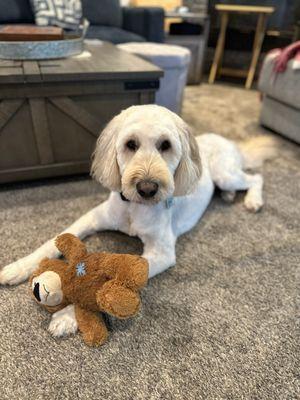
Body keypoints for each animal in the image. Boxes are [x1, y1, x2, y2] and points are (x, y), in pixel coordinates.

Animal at [0, 104, 274, 338]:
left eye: (165, 145)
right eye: (130, 144)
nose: (147, 188)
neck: (135, 207)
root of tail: (229, 141)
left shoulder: (161, 252)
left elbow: (109, 283)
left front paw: (68, 315)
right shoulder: (92, 217)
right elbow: (51, 242)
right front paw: (17, 267)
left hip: (225, 174)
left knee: (256, 178)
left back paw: (253, 200)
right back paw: (229, 197)